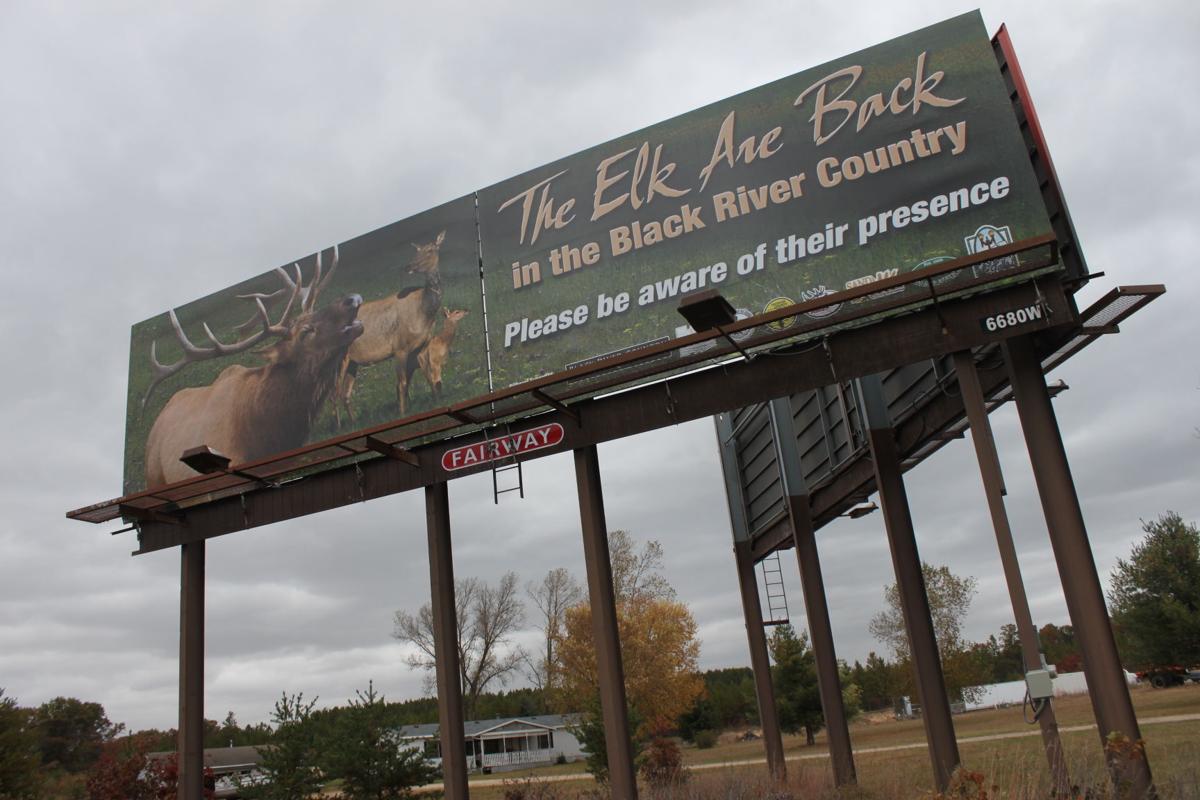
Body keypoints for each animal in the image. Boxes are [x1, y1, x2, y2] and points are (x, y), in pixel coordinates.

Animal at [338, 227, 446, 429]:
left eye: (430, 250)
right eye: (417, 250)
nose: (409, 266)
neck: (424, 311)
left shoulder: (422, 345)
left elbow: (427, 373)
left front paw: (436, 400)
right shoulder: (399, 348)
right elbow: (401, 382)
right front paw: (403, 412)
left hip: (353, 362)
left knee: (344, 393)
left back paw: (354, 423)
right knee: (332, 395)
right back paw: (339, 427)